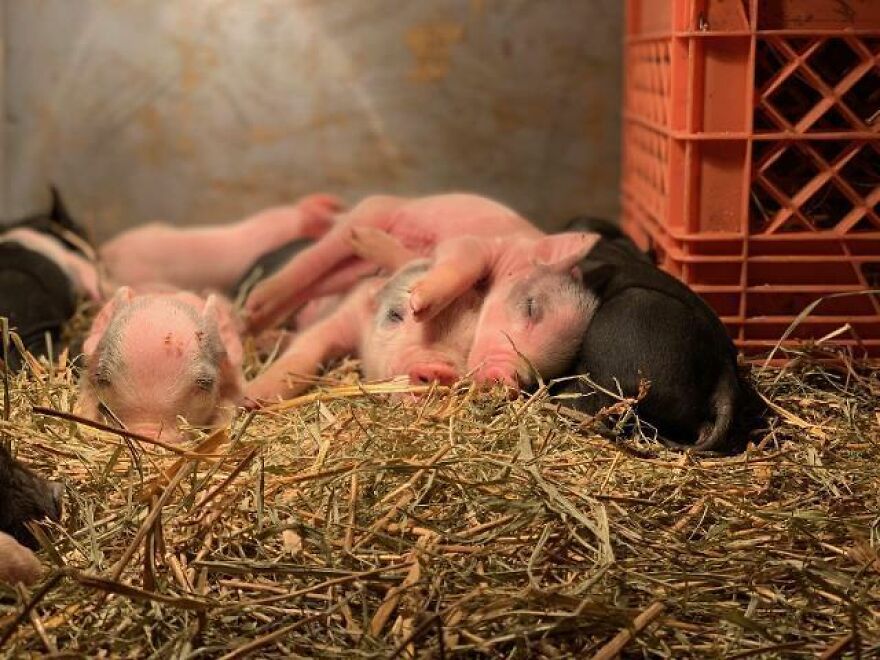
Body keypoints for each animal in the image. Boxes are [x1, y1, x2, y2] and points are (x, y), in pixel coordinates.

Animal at [244, 193, 543, 333]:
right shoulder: (472, 247)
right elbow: (460, 265)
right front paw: (419, 307)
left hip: (352, 270)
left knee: (316, 282)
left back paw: (256, 320)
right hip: (371, 212)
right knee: (311, 257)